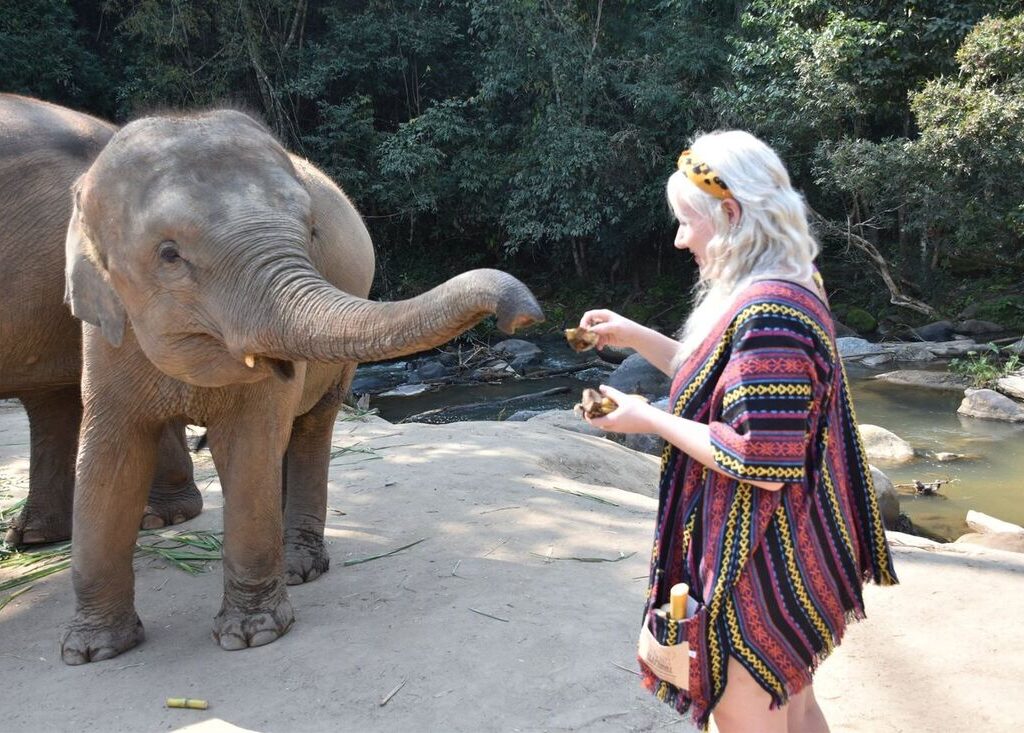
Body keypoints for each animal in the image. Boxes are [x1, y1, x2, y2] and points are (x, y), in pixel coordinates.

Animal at [58, 106, 542, 664]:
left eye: (311, 231)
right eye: (169, 254)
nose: (523, 318)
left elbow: (248, 448)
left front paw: (252, 636)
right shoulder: (103, 337)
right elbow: (108, 459)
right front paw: (91, 651)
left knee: (309, 429)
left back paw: (299, 569)